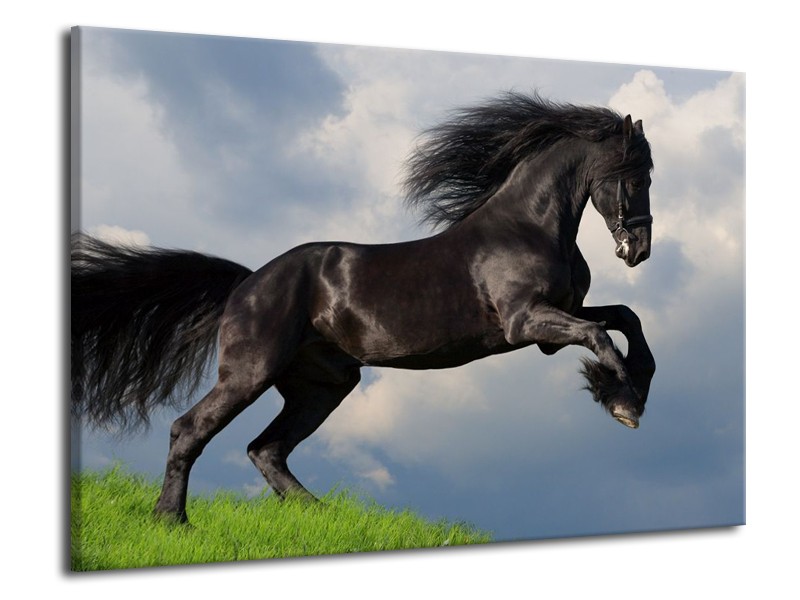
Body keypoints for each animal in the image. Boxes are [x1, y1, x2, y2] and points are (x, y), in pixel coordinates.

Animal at [71, 92, 656, 523]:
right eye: (634, 176)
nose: (639, 250)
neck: (527, 227)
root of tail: (247, 283)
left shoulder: (554, 324)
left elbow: (626, 320)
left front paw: (631, 391)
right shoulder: (525, 323)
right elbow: (603, 337)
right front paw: (623, 403)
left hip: (323, 384)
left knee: (267, 449)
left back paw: (321, 515)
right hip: (251, 372)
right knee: (190, 430)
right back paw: (172, 520)